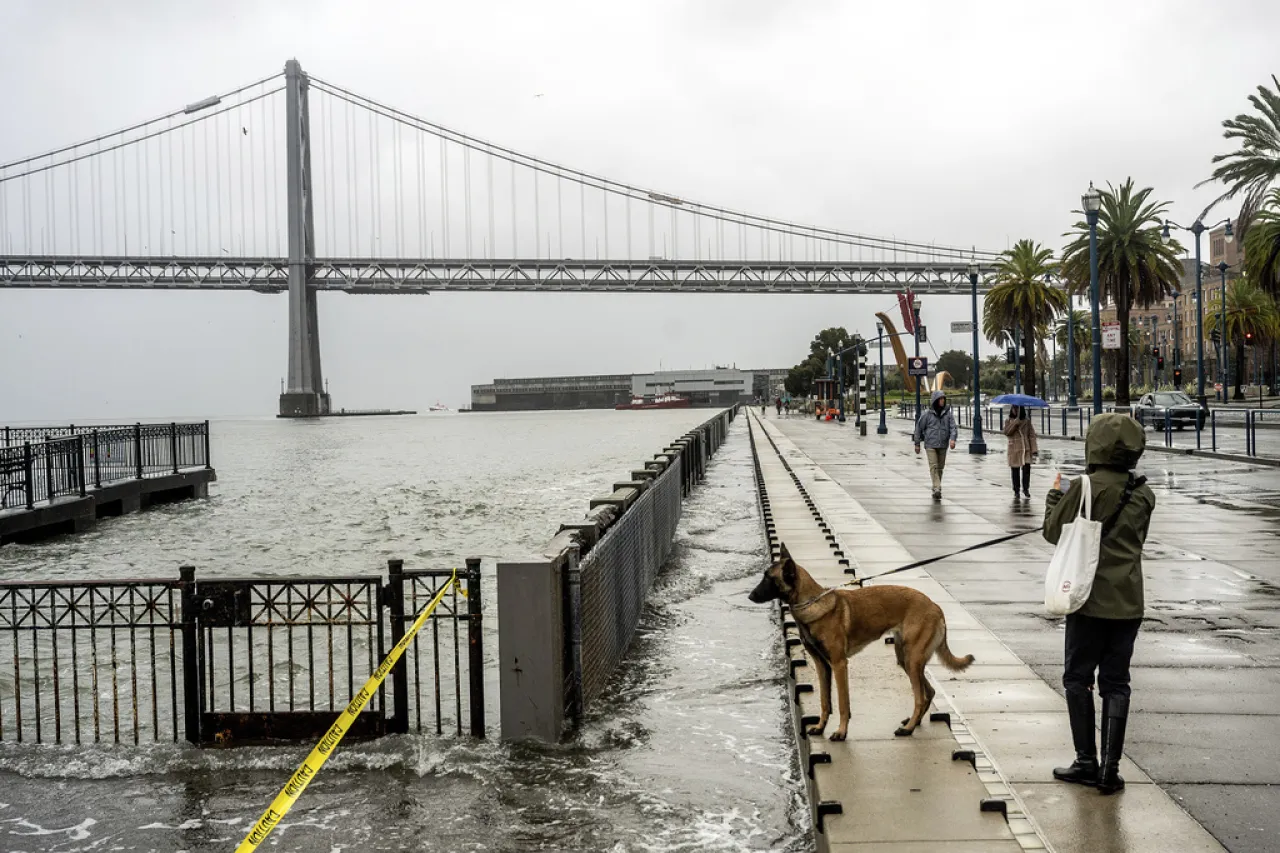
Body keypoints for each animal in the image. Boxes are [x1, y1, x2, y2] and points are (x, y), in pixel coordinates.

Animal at [747, 545, 972, 737]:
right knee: (929, 692)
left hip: (912, 659)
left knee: (920, 697)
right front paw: (820, 727)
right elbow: (824, 701)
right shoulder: (821, 665)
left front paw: (841, 732)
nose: (750, 596)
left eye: (769, 578)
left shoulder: (839, 664)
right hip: (906, 659)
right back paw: (913, 723)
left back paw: (908, 729)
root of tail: (935, 606)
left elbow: (842, 703)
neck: (811, 603)